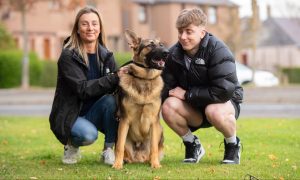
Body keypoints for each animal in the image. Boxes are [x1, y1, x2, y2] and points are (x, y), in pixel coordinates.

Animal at [112, 30, 169, 169]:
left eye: (161, 44)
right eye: (151, 45)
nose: (167, 52)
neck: (144, 79)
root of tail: (139, 159)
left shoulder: (154, 121)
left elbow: (154, 148)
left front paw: (155, 164)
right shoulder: (124, 120)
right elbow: (119, 147)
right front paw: (117, 164)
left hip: (160, 130)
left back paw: (150, 160)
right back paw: (125, 160)